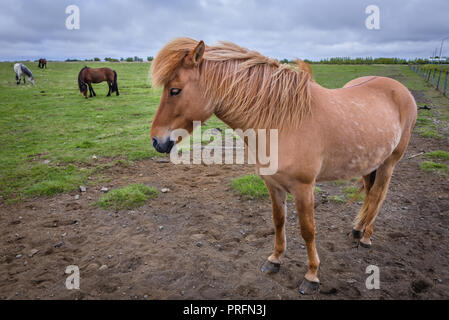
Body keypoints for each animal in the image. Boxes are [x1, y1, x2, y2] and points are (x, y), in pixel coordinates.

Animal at [150, 38, 416, 296]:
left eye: (175, 90)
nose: (156, 141)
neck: (283, 121)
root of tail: (399, 89)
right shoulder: (273, 184)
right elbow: (278, 221)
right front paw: (275, 260)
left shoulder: (304, 188)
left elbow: (308, 230)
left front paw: (312, 276)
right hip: (371, 162)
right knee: (370, 194)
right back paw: (358, 230)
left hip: (390, 162)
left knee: (378, 195)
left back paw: (366, 237)